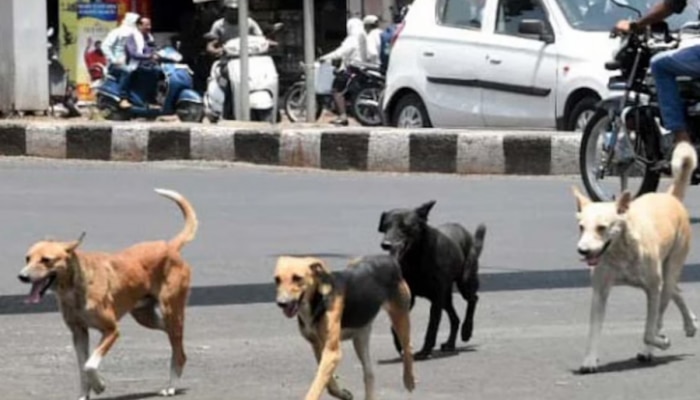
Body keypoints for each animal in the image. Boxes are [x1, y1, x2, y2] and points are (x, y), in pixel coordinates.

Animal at [17, 188, 198, 400]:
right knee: (174, 338)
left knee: (178, 350)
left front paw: (99, 386)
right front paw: (84, 394)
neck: (75, 288)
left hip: (171, 309)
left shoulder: (111, 330)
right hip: (145, 317)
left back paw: (171, 385)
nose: (22, 276)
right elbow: (82, 368)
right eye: (27, 258)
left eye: (46, 260)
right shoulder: (78, 333)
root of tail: (169, 246)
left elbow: (89, 365)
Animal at [274, 256, 416, 400]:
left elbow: (316, 386)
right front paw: (341, 393)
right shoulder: (318, 346)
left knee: (407, 347)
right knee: (369, 373)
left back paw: (409, 379)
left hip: (400, 317)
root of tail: (389, 258)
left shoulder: (332, 352)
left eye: (297, 278)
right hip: (360, 337)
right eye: (277, 279)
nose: (281, 303)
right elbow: (328, 382)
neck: (319, 299)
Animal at [378, 200, 486, 360]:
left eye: (404, 226)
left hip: (464, 282)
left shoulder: (436, 298)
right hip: (445, 297)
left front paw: (425, 351)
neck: (415, 258)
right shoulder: (410, 297)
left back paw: (467, 330)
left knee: (473, 299)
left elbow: (432, 325)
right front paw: (399, 344)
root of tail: (468, 235)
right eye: (385, 226)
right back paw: (450, 344)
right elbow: (397, 323)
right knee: (455, 319)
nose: (386, 244)